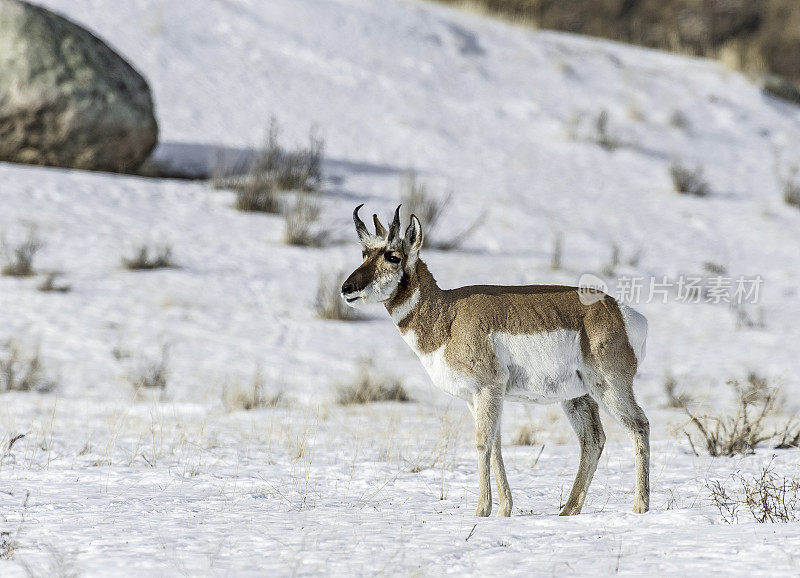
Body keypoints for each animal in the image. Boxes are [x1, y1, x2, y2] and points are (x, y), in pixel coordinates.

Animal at [340, 205, 648, 516]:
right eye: (364, 254)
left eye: (393, 256)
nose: (346, 288)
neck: (448, 314)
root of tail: (621, 311)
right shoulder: (476, 398)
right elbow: (496, 445)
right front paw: (503, 511)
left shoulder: (488, 389)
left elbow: (482, 443)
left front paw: (481, 511)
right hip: (577, 397)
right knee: (593, 440)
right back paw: (567, 511)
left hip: (608, 388)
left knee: (639, 424)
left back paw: (640, 506)